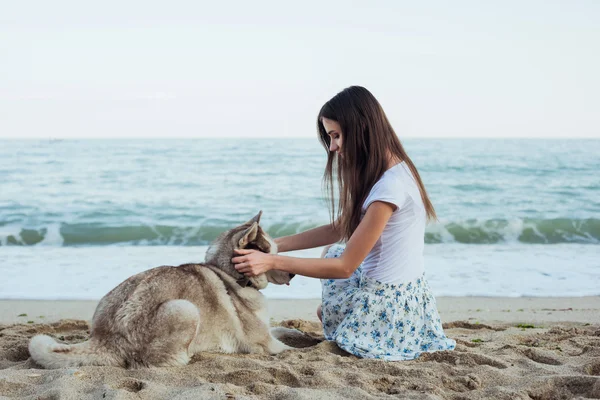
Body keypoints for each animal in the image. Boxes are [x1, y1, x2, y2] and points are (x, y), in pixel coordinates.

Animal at [28, 212, 302, 368]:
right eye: (272, 254)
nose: (293, 273)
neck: (230, 274)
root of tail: (105, 339)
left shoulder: (268, 332)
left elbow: (283, 329)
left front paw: (297, 332)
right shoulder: (265, 344)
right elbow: (291, 348)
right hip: (185, 309)